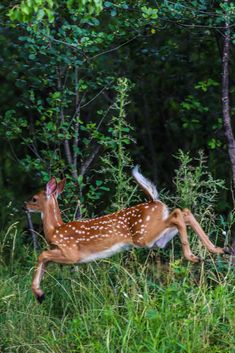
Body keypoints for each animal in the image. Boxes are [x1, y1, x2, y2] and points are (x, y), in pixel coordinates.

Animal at [25, 166, 224, 302]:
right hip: (158, 238)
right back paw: (218, 250)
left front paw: (38, 293)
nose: (24, 205)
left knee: (178, 214)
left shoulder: (71, 253)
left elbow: (42, 255)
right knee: (185, 212)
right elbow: (44, 259)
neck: (55, 230)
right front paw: (40, 293)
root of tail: (154, 201)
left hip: (145, 236)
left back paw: (193, 256)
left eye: (34, 198)